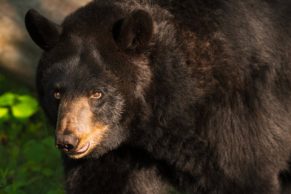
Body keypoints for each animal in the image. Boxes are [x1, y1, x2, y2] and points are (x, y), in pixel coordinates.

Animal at [24, 0, 291, 193]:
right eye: (56, 92)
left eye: (97, 93)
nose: (68, 141)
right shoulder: (118, 151)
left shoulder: (235, 113)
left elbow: (242, 172)